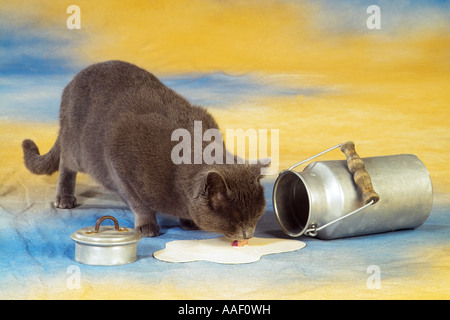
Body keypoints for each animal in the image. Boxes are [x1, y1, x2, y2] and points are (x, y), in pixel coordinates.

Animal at [22, 61, 268, 239]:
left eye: (256, 215)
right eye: (234, 219)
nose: (248, 235)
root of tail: (73, 80)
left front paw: (188, 221)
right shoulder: (120, 163)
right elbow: (139, 202)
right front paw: (148, 225)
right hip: (79, 148)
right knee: (66, 161)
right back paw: (64, 197)